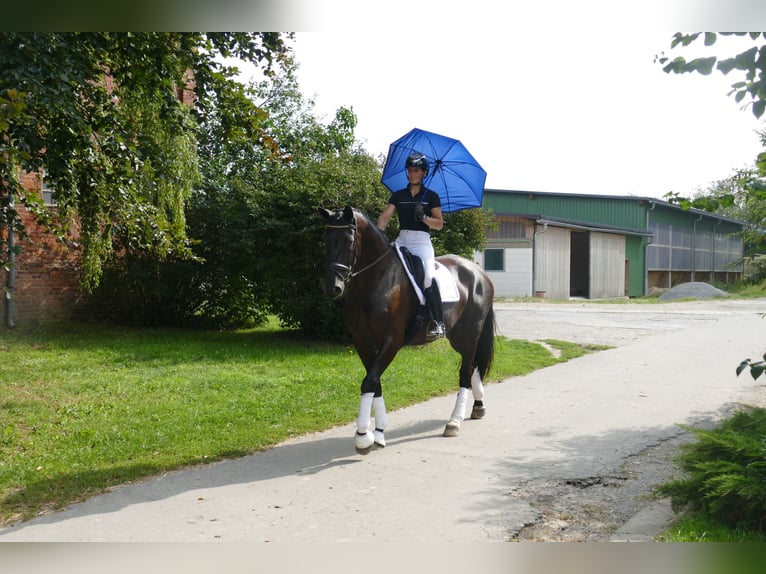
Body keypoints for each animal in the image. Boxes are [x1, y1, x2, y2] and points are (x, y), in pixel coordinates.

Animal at [318, 206, 498, 454]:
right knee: (471, 368)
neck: (375, 280)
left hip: (469, 335)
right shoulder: (362, 342)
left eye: (349, 240)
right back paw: (478, 406)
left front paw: (363, 437)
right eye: (326, 239)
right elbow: (375, 383)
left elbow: (369, 382)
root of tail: (479, 272)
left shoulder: (391, 342)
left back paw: (454, 422)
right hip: (457, 337)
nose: (332, 287)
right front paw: (379, 432)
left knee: (465, 371)